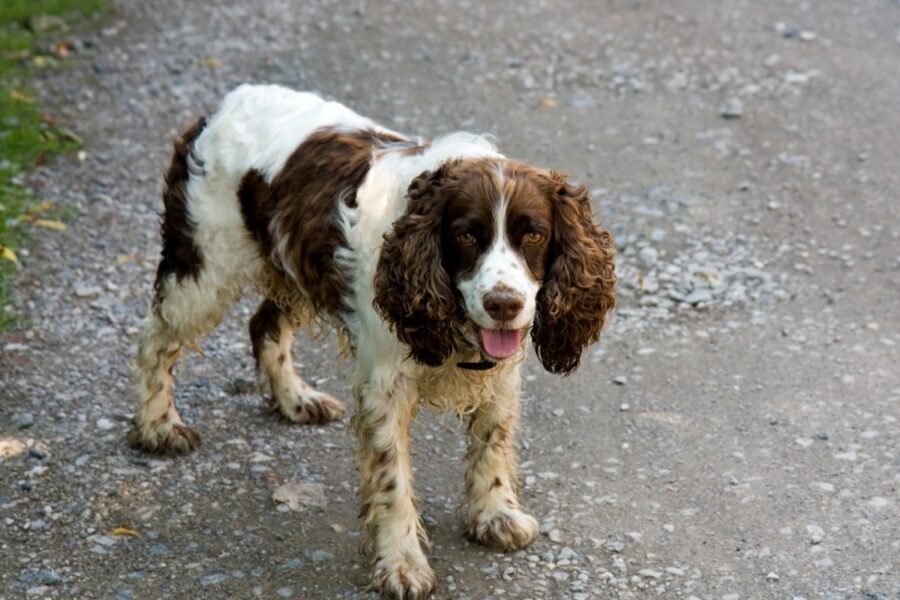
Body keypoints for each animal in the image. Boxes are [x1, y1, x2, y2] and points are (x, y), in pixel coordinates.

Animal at [128, 83, 620, 596]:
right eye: (466, 235)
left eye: (535, 235)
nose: (504, 303)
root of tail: (220, 106)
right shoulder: (385, 386)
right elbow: (392, 480)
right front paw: (401, 563)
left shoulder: (501, 376)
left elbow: (492, 443)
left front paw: (495, 516)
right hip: (204, 267)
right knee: (153, 339)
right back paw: (158, 426)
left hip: (291, 263)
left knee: (263, 325)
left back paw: (296, 400)